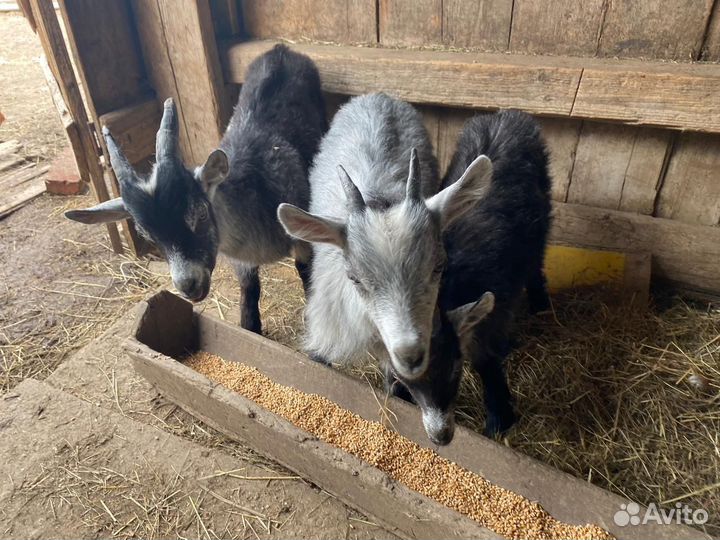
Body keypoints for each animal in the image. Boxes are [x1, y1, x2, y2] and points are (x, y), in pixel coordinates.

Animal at [65, 45, 327, 333]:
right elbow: (249, 289)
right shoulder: (242, 262)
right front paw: (249, 325)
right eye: (146, 234)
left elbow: (306, 274)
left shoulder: (301, 234)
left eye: (199, 212)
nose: (187, 285)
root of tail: (282, 49)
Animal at [385, 110, 552, 445]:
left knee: (536, 261)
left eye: (454, 368)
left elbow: (486, 355)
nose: (440, 436)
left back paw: (541, 304)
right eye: (407, 381)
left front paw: (500, 416)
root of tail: (508, 113)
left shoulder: (497, 302)